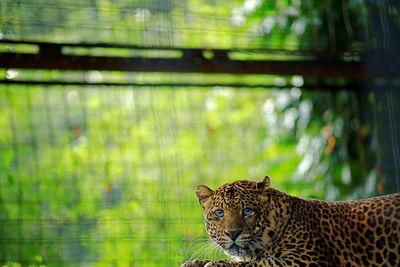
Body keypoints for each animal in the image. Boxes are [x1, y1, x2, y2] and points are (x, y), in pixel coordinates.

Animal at [182, 177, 400, 266]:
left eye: (248, 211)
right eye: (219, 213)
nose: (232, 233)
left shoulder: (307, 259)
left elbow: (259, 264)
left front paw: (215, 265)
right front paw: (196, 262)